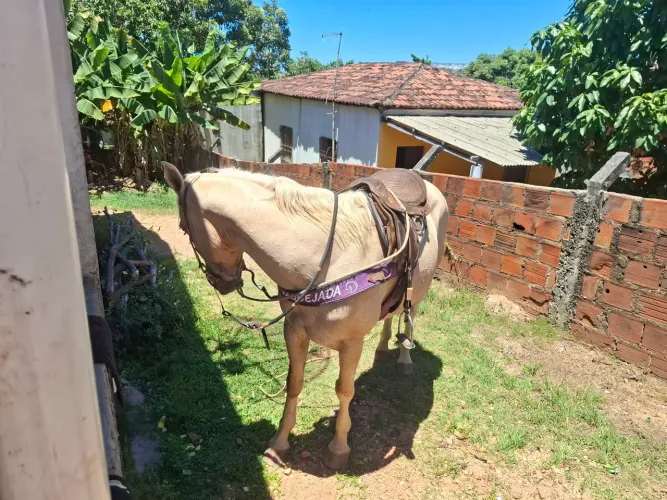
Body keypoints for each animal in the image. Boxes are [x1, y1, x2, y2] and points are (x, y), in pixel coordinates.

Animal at [161, 161, 449, 470]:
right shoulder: (294, 330)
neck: (326, 258)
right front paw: (279, 443)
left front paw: (339, 448)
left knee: (409, 316)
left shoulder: (352, 342)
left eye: (183, 228)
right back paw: (383, 348)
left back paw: (404, 358)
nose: (220, 284)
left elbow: (344, 390)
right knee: (389, 315)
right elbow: (294, 383)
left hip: (418, 288)